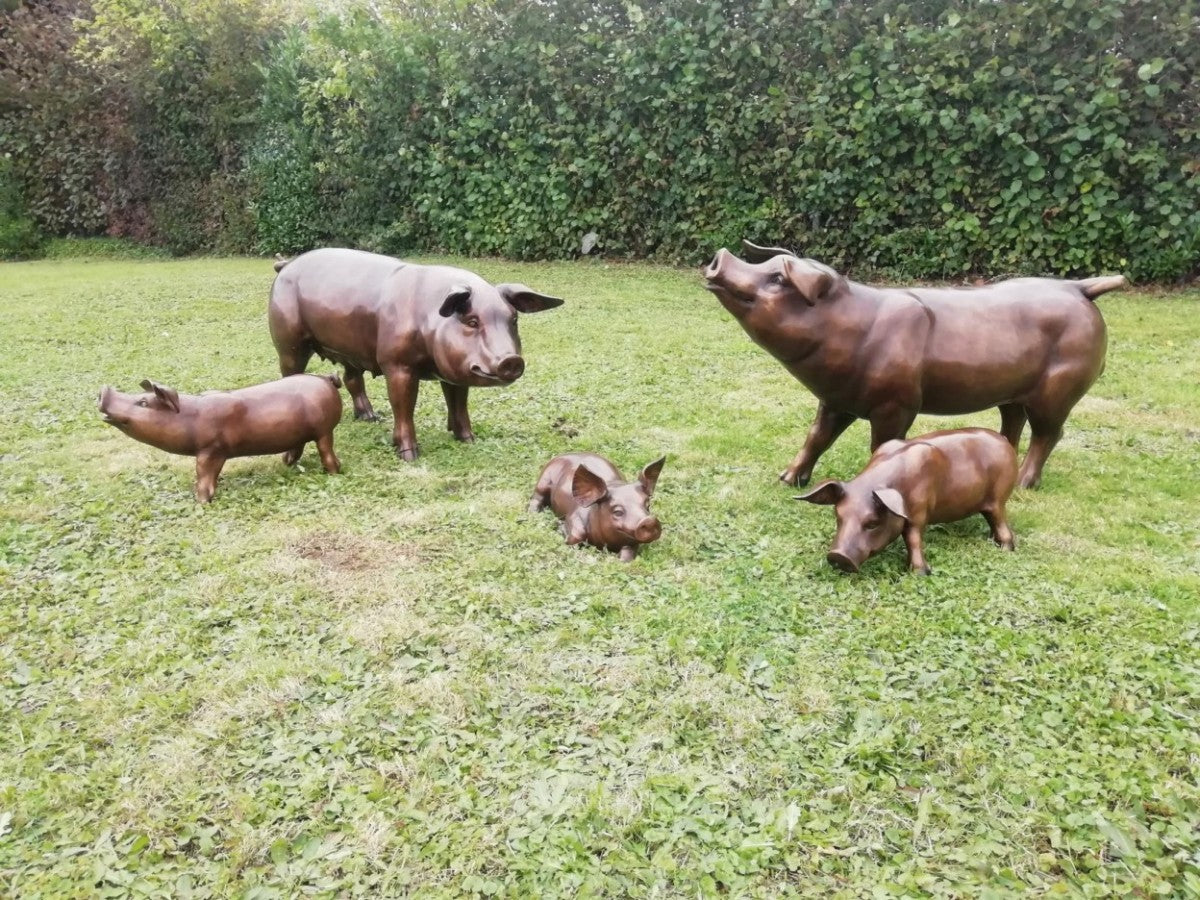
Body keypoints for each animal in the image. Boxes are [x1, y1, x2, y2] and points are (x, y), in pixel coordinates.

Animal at [98, 374, 343, 503]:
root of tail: (327, 379)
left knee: (326, 449)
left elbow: (204, 472)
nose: (104, 390)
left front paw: (201, 501)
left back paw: (332, 472)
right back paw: (287, 462)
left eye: (143, 402)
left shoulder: (210, 449)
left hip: (324, 430)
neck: (191, 417)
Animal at [268, 248, 564, 461]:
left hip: (351, 349)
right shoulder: (397, 365)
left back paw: (370, 417)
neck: (427, 318)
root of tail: (287, 265)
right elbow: (403, 406)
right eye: (471, 321)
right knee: (290, 372)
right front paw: (409, 455)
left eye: (513, 320)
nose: (511, 360)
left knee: (352, 378)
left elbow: (459, 403)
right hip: (288, 342)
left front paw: (468, 439)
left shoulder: (455, 372)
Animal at [528, 453, 666, 561]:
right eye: (617, 512)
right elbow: (574, 538)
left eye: (647, 505)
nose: (649, 520)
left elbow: (628, 555)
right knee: (536, 497)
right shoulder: (573, 516)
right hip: (543, 480)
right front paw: (559, 526)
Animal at [703, 240, 1127, 489]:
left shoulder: (897, 403)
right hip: (1012, 391)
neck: (850, 330)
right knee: (1013, 422)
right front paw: (787, 479)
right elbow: (816, 436)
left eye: (778, 277)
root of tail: (1079, 288)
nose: (720, 256)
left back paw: (1023, 484)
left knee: (1048, 434)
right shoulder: (837, 399)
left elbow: (882, 444)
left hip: (1059, 389)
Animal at [797, 428, 1018, 575]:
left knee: (1001, 523)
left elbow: (913, 538)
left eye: (872, 523)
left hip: (998, 497)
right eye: (838, 517)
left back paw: (1005, 549)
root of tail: (1004, 440)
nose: (837, 555)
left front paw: (920, 573)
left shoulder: (919, 513)